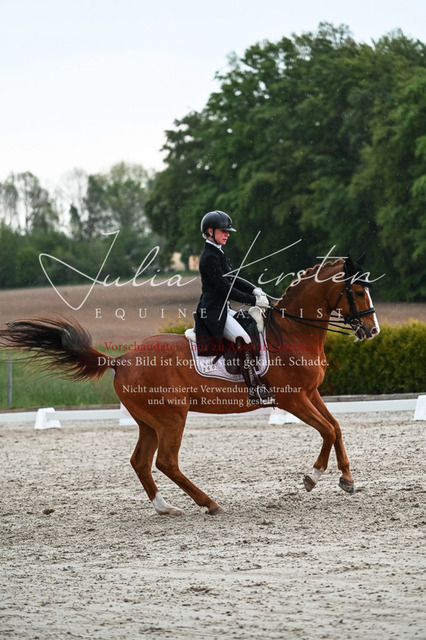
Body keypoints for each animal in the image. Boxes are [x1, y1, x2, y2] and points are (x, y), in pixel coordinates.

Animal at [0, 255, 380, 516]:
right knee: (166, 462)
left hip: (150, 421)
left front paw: (347, 479)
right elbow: (327, 431)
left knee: (140, 461)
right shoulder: (292, 400)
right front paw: (313, 477)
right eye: (358, 290)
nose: (372, 331)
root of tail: (121, 360)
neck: (291, 331)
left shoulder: (311, 393)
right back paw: (209, 503)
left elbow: (336, 426)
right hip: (172, 417)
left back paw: (165, 507)